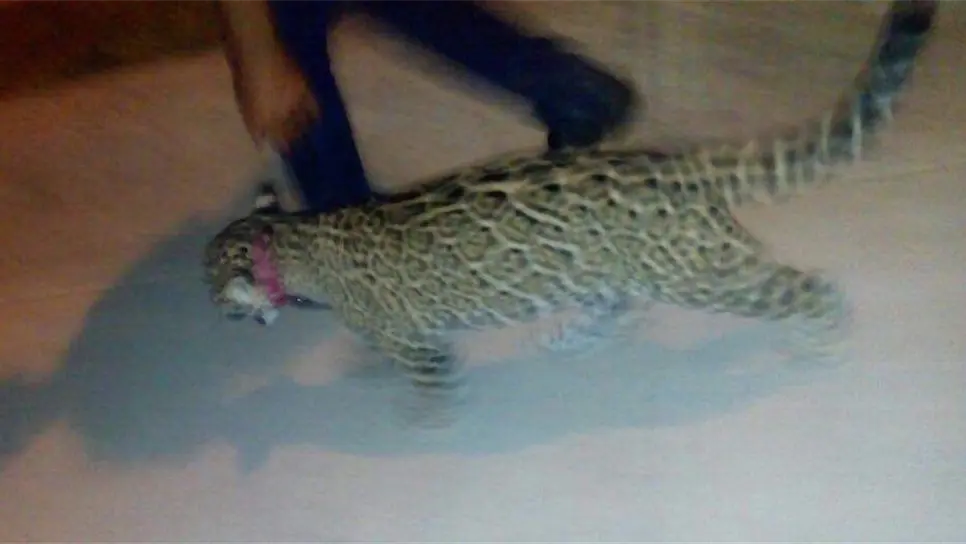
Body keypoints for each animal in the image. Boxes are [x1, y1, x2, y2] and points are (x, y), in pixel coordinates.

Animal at [204, 0, 939, 426]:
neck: (293, 242)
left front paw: (421, 419)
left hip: (705, 273)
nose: (215, 314)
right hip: (616, 266)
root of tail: (682, 165)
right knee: (621, 303)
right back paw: (571, 337)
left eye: (213, 294)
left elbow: (425, 380)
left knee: (802, 285)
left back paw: (822, 338)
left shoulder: (416, 343)